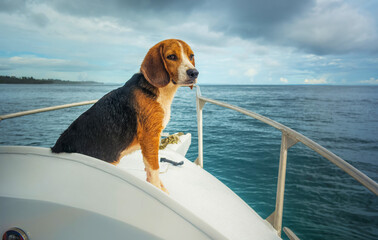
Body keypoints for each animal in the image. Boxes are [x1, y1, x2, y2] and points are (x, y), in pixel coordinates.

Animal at [52, 39, 199, 193]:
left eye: (191, 56)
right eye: (171, 56)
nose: (194, 73)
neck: (161, 91)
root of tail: (56, 148)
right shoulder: (150, 136)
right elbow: (154, 169)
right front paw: (157, 188)